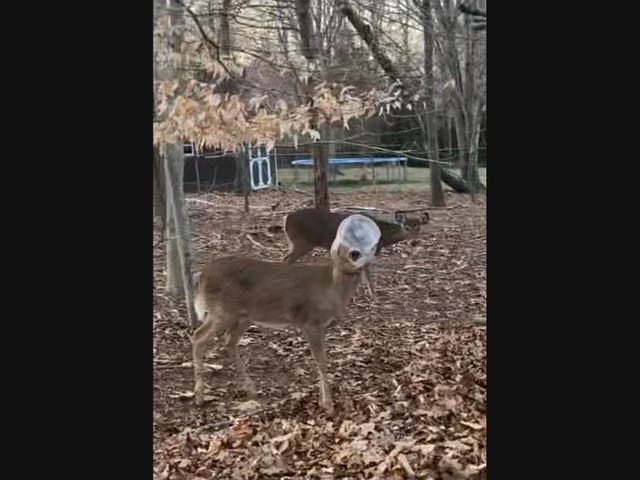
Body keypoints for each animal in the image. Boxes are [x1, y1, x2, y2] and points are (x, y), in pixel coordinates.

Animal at [191, 214, 381, 414]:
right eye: (343, 239)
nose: (354, 254)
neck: (332, 287)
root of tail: (202, 276)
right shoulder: (311, 322)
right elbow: (321, 360)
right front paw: (328, 404)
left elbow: (321, 359)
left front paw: (322, 401)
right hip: (221, 312)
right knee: (198, 337)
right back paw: (199, 396)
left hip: (244, 316)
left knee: (228, 340)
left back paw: (250, 388)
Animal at [281, 208, 430, 298]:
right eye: (406, 227)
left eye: (419, 228)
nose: (414, 242)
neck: (382, 234)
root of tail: (286, 219)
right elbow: (366, 274)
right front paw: (373, 296)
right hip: (301, 242)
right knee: (286, 260)